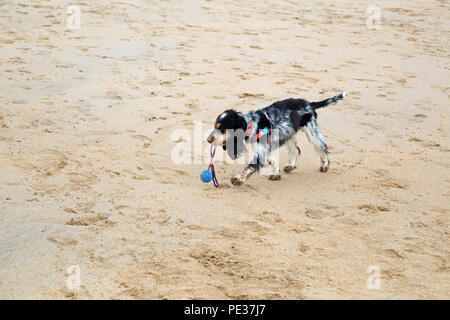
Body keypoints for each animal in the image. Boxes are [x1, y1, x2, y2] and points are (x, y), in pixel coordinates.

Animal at [207, 91, 348, 186]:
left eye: (221, 128)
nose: (208, 140)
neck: (253, 124)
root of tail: (309, 103)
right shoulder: (263, 150)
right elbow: (272, 160)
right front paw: (275, 173)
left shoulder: (260, 152)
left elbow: (249, 166)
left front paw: (238, 179)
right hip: (288, 134)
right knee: (296, 150)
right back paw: (290, 166)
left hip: (312, 131)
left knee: (321, 146)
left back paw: (324, 165)